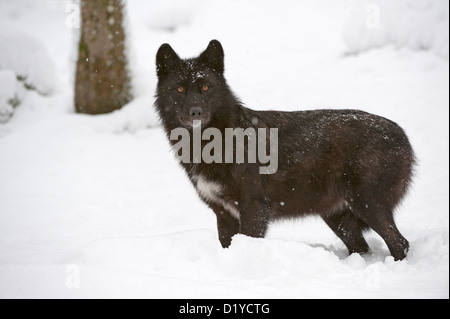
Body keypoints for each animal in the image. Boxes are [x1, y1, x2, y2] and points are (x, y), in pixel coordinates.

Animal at [155, 40, 414, 262]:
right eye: (180, 89)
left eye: (206, 87)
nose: (195, 112)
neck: (215, 142)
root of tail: (403, 134)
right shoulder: (223, 213)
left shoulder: (254, 208)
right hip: (339, 218)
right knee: (363, 248)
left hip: (367, 205)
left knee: (400, 243)